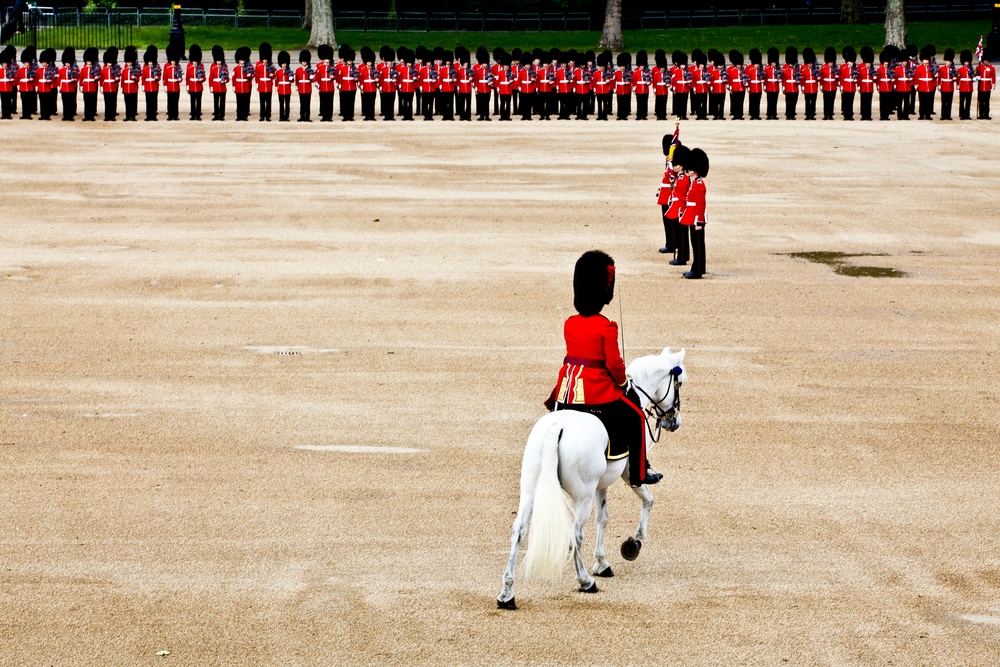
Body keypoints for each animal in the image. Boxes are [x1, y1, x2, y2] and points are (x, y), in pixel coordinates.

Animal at [496, 350, 684, 612]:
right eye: (680, 383)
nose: (673, 422)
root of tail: (557, 426)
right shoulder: (629, 474)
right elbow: (648, 500)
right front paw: (633, 543)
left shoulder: (601, 485)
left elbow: (602, 518)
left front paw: (602, 562)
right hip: (582, 496)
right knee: (576, 534)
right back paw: (585, 581)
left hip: (530, 490)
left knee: (519, 531)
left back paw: (507, 593)